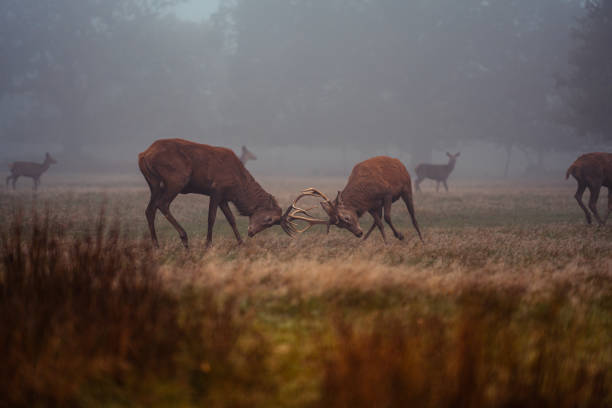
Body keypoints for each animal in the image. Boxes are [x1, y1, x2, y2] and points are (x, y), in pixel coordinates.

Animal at [137, 139, 296, 249]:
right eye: (269, 219)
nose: (251, 233)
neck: (237, 187)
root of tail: (143, 155)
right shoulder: (216, 190)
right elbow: (211, 218)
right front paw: (208, 245)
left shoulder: (224, 197)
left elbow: (231, 219)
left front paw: (241, 243)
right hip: (176, 179)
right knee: (162, 204)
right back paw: (184, 238)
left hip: (153, 183)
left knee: (149, 209)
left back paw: (156, 245)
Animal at [284, 155, 424, 242]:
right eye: (340, 226)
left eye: (346, 218)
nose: (358, 233)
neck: (366, 193)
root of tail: (399, 162)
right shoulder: (371, 206)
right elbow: (379, 223)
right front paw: (386, 243)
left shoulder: (387, 194)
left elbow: (388, 217)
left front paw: (400, 235)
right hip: (380, 205)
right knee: (377, 221)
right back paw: (364, 240)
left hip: (407, 188)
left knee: (413, 216)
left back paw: (422, 240)